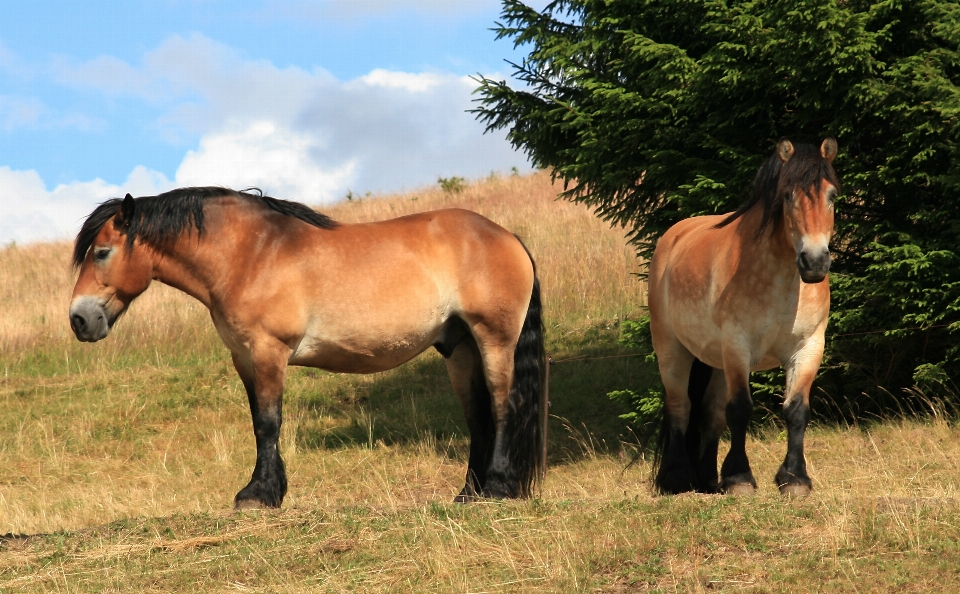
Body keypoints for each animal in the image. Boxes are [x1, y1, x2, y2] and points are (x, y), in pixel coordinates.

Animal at [70, 187, 544, 506]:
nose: (79, 319)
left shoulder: (268, 352)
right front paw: (268, 488)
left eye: (102, 252)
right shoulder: (244, 358)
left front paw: (259, 495)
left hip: (494, 338)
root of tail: (507, 237)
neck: (251, 254)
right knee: (478, 416)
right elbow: (258, 422)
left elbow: (268, 423)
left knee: (504, 405)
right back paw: (469, 493)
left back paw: (497, 487)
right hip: (460, 348)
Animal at [648, 138, 836, 494]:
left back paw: (708, 479)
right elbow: (739, 409)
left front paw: (795, 478)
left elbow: (796, 411)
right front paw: (739, 477)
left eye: (832, 195)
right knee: (681, 407)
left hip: (716, 360)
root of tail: (673, 237)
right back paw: (676, 478)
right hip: (672, 350)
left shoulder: (808, 347)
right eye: (788, 196)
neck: (782, 280)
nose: (815, 262)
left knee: (709, 412)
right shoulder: (738, 346)